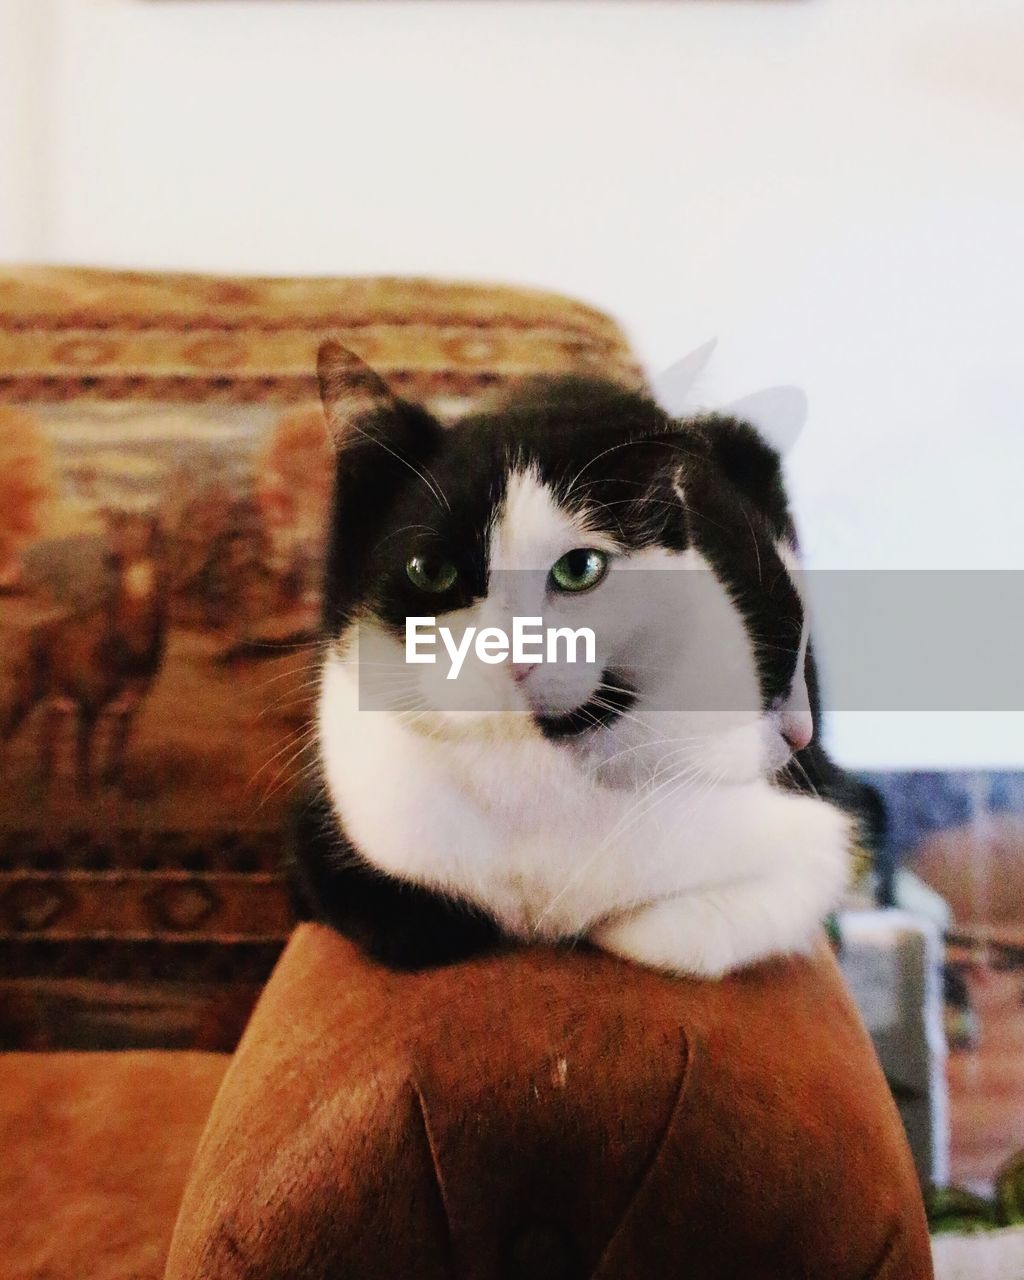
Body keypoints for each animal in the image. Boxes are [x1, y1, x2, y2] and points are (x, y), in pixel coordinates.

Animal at [291, 343, 860, 977]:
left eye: (580, 568)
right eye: (429, 570)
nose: (514, 653)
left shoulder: (810, 838)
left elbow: (669, 933)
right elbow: (417, 926)